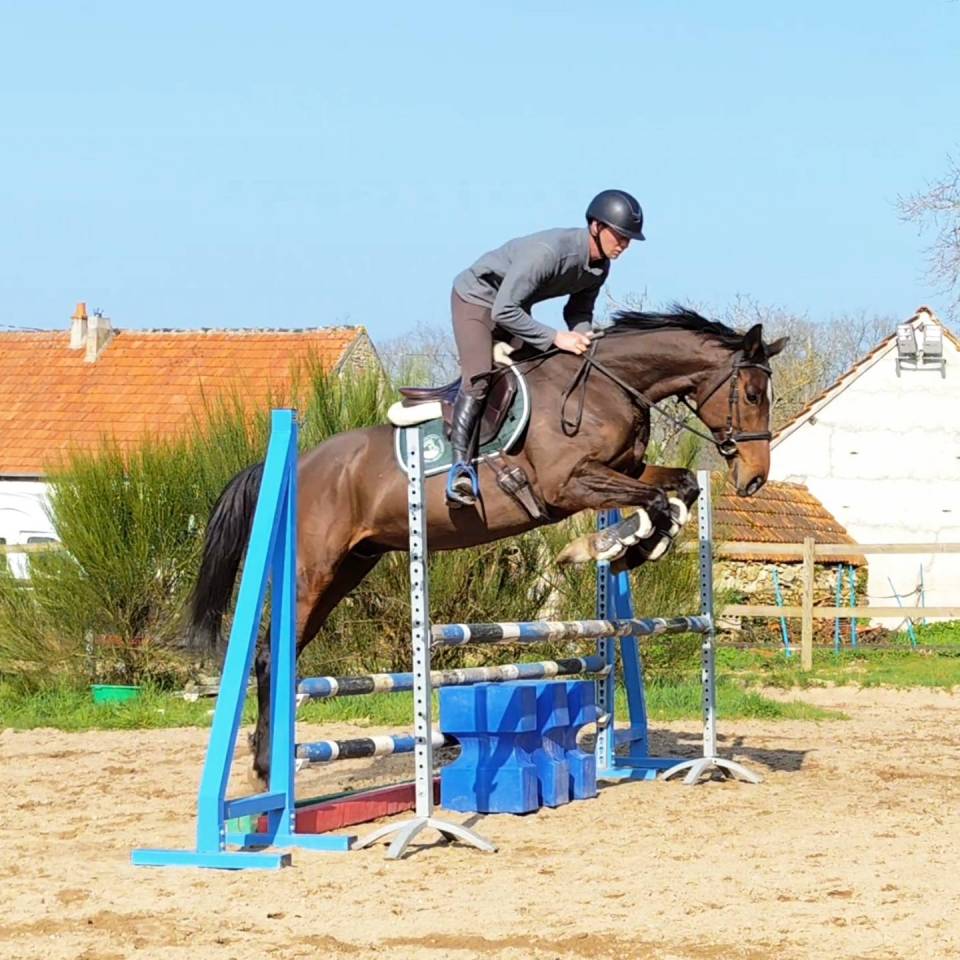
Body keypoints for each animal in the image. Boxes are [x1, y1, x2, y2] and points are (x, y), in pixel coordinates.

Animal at [188, 307, 787, 783]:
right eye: (752, 394)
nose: (755, 478)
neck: (605, 386)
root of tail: (300, 463)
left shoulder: (623, 471)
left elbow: (680, 485)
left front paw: (632, 547)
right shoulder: (566, 485)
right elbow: (657, 500)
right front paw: (609, 546)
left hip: (352, 565)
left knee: (285, 652)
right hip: (313, 569)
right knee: (271, 655)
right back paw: (268, 768)